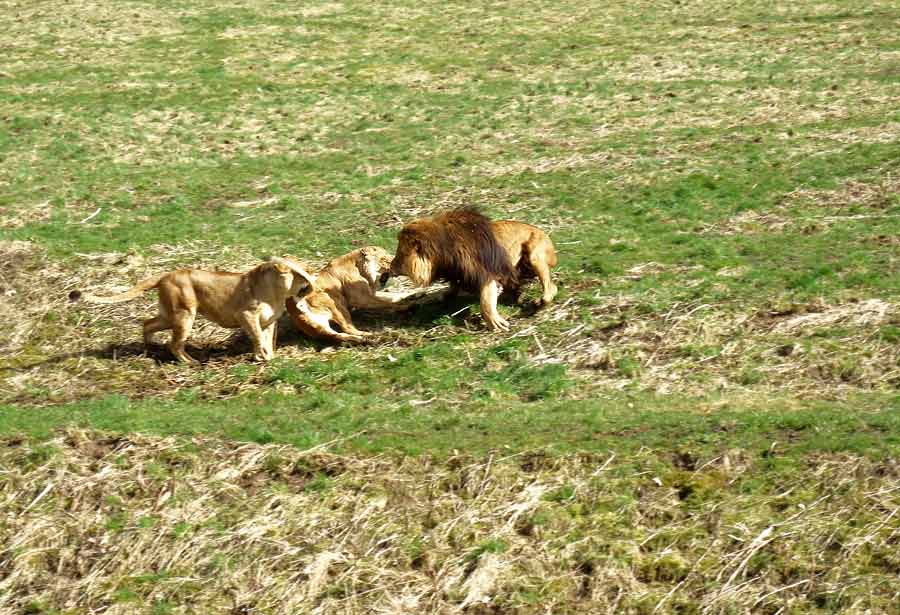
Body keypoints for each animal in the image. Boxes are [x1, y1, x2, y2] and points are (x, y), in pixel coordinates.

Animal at [81, 258, 318, 364]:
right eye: (302, 272)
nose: (313, 278)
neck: (277, 293)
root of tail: (165, 275)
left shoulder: (268, 321)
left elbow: (268, 339)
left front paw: (269, 357)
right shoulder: (246, 316)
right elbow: (258, 337)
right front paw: (261, 357)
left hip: (169, 315)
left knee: (147, 324)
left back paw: (150, 348)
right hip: (184, 314)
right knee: (174, 344)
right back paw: (190, 362)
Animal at [392, 208, 560, 332]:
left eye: (400, 255)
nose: (391, 266)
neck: (442, 255)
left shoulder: (483, 272)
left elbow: (485, 302)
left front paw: (494, 321)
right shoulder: (456, 274)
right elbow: (450, 290)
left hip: (535, 254)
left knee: (552, 287)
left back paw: (538, 302)